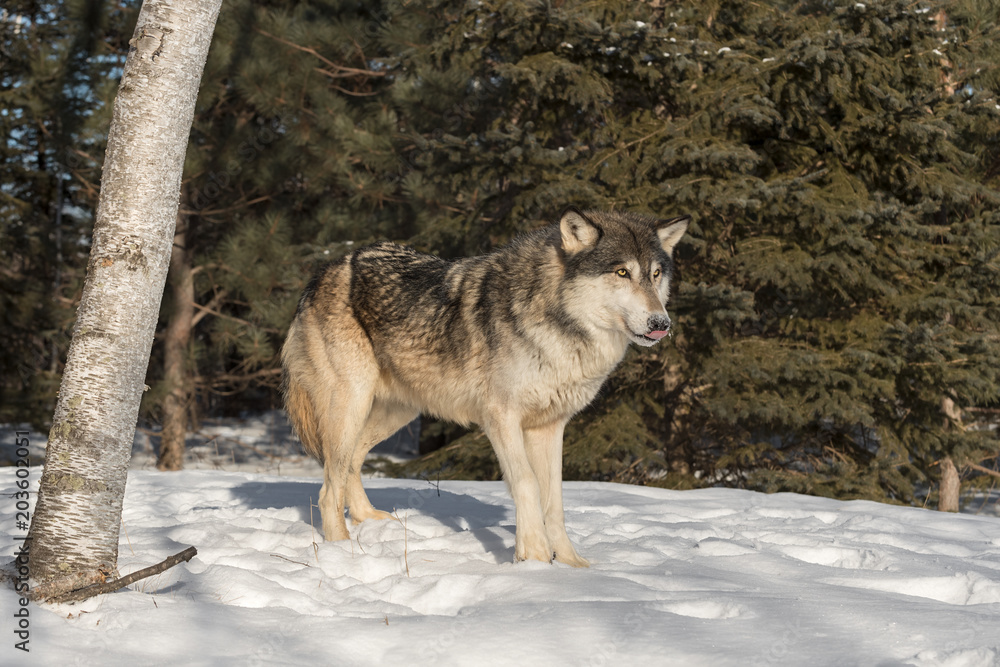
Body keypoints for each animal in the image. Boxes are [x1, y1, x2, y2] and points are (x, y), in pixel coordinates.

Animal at [281, 207, 688, 567]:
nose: (661, 324)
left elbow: (555, 499)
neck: (558, 324)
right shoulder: (500, 418)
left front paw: (572, 565)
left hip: (394, 413)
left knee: (350, 463)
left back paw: (370, 521)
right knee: (327, 486)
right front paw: (534, 558)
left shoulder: (549, 426)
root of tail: (326, 269)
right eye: (622, 272)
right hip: (352, 406)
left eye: (655, 274)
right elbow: (526, 483)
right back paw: (341, 549)